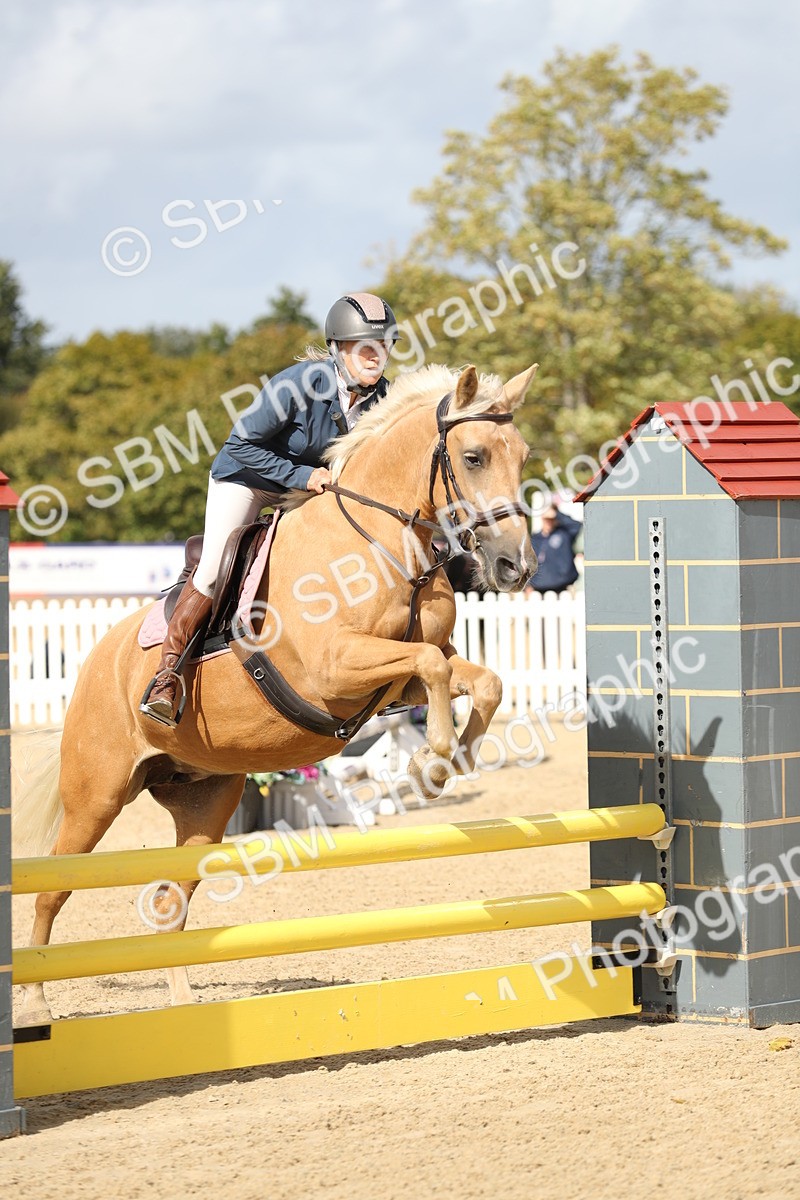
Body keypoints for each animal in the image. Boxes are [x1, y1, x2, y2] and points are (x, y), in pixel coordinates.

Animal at [14, 360, 538, 1024]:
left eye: (522, 454)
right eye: (473, 457)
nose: (515, 566)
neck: (381, 542)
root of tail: (92, 667)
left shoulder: (407, 676)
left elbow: (478, 679)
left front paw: (443, 762)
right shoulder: (336, 670)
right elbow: (432, 669)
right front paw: (434, 760)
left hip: (206, 803)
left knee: (171, 905)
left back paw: (183, 1008)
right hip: (96, 797)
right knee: (53, 889)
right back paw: (35, 1004)